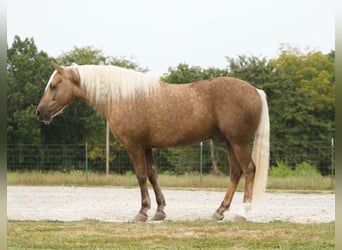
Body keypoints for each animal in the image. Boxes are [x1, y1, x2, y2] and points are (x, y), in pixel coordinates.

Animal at [35, 63, 270, 222]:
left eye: (53, 86)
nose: (40, 113)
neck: (123, 97)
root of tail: (255, 91)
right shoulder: (147, 147)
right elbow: (152, 175)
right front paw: (160, 211)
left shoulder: (134, 146)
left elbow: (140, 176)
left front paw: (142, 212)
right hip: (230, 143)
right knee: (236, 173)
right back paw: (219, 211)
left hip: (238, 142)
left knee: (249, 170)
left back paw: (243, 213)